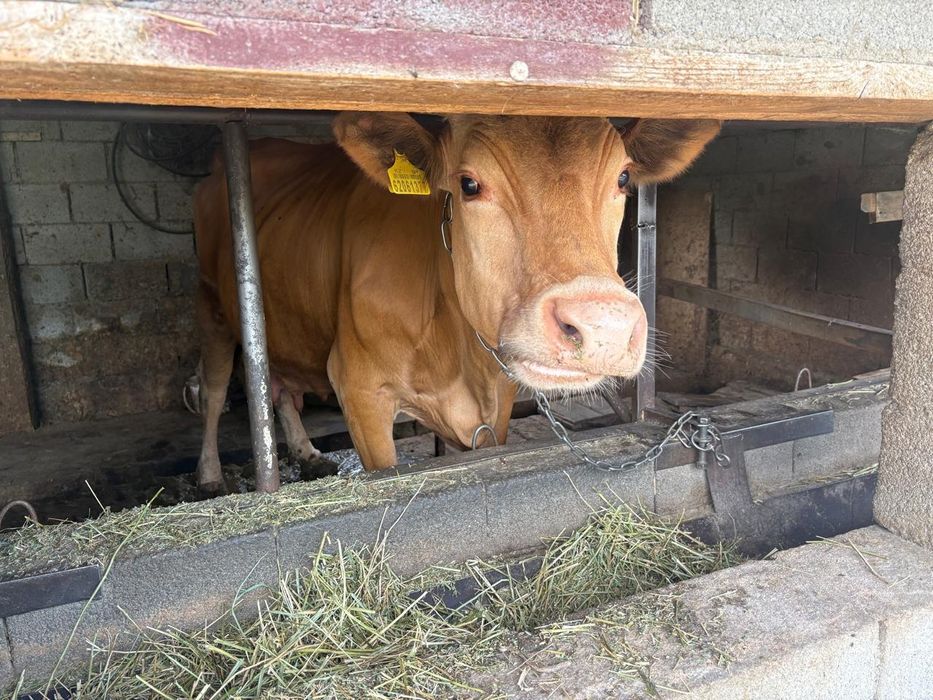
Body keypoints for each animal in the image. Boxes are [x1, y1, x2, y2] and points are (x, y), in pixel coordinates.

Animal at [193, 113, 719, 493]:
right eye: (469, 184)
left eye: (624, 178)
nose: (603, 326)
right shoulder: (359, 387)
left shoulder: (497, 403)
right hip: (212, 304)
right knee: (215, 392)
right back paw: (210, 476)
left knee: (279, 386)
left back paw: (306, 453)